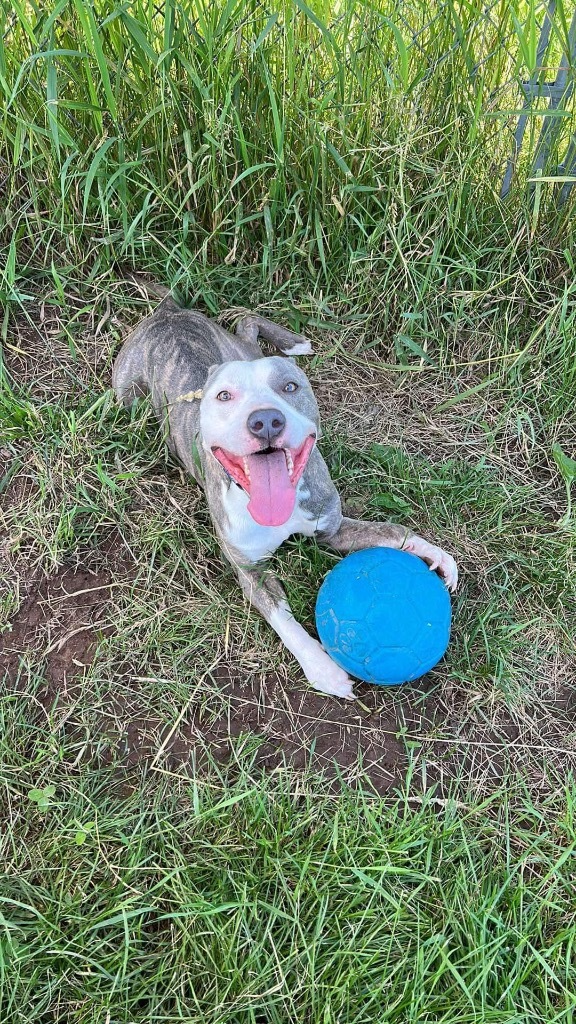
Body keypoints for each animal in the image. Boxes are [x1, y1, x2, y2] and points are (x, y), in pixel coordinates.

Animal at [112, 290, 455, 704]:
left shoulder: (332, 530)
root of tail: (168, 313)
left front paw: (433, 553)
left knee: (246, 322)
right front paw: (322, 668)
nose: (264, 420)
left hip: (237, 347)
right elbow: (283, 619)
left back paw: (294, 343)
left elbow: (391, 531)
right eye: (224, 396)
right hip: (127, 396)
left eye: (290, 387)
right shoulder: (251, 572)